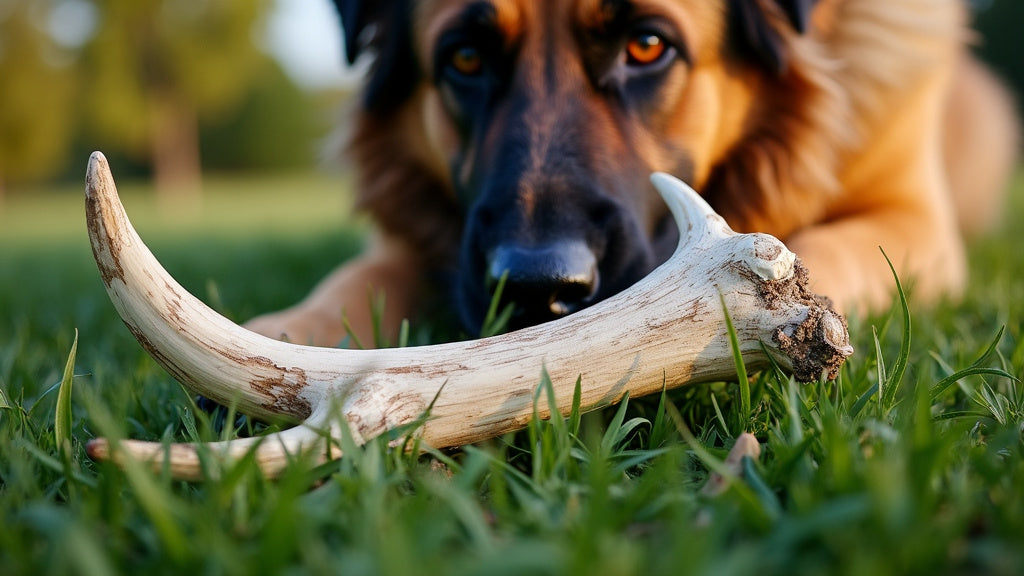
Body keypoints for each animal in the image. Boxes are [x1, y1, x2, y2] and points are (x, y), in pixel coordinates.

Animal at [245, 1, 1015, 344]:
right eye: (465, 58)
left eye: (647, 45)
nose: (538, 289)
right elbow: (357, 279)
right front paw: (287, 335)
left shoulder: (913, 221)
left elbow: (823, 251)